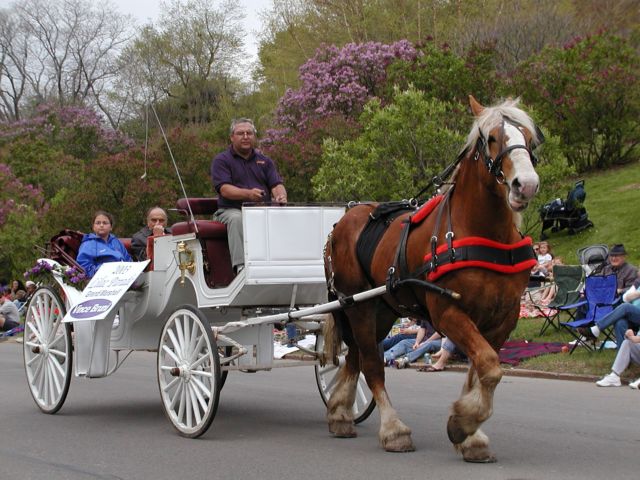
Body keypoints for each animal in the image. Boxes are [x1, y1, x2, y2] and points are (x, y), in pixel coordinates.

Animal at [324, 95, 540, 464]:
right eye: (491, 138)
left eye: (528, 137)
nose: (525, 184)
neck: (479, 232)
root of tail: (342, 222)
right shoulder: (448, 313)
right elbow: (489, 366)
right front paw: (463, 423)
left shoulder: (503, 318)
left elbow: (481, 371)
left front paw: (470, 435)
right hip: (358, 307)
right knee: (372, 364)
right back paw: (393, 429)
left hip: (380, 311)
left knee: (355, 357)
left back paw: (340, 414)